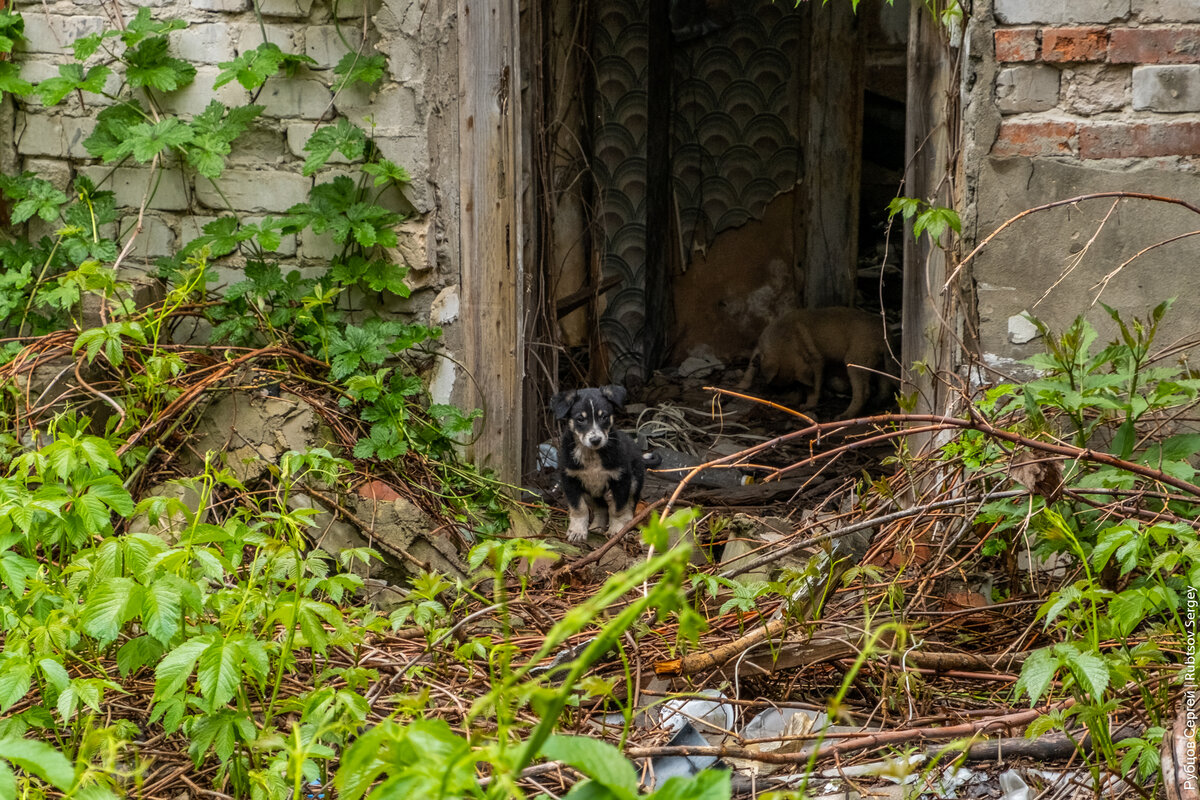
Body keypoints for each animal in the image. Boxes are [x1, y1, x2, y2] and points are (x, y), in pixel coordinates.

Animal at [554, 383, 657, 542]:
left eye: (604, 417)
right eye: (580, 419)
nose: (595, 440)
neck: (591, 455)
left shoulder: (621, 479)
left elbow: (617, 508)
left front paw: (617, 530)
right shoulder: (570, 479)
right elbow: (579, 508)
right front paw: (577, 531)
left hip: (635, 480)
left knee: (629, 504)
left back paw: (627, 523)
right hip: (589, 490)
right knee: (601, 507)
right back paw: (596, 527)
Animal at [734, 307, 897, 419]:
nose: (781, 399)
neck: (786, 339)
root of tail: (885, 334)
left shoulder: (817, 362)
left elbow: (814, 387)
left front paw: (810, 404)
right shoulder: (758, 349)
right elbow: (749, 369)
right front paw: (742, 386)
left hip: (855, 361)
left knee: (863, 392)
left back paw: (846, 415)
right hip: (879, 362)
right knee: (885, 382)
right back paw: (879, 400)